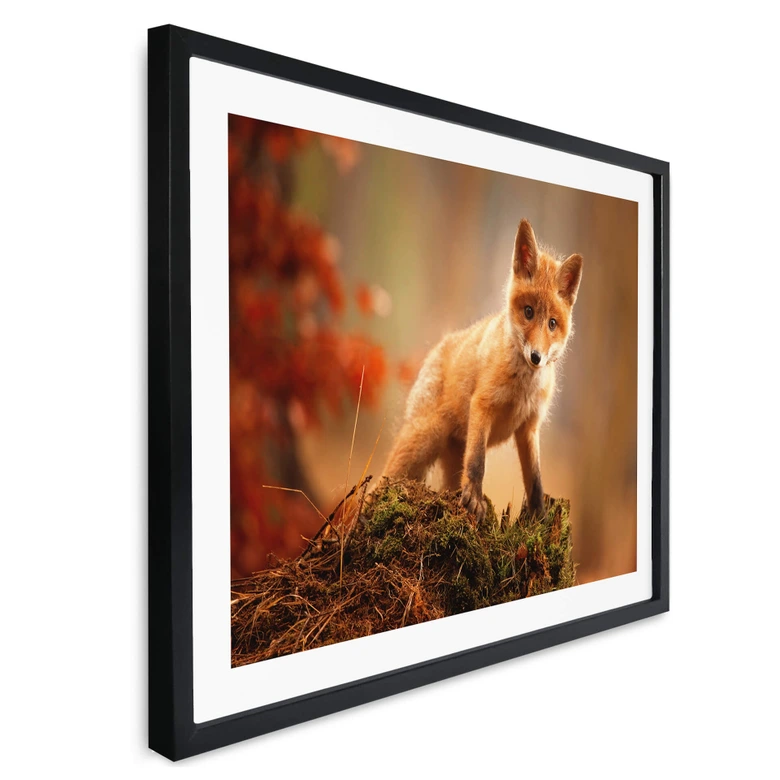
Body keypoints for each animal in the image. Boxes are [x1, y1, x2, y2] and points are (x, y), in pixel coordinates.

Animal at [380, 218, 583, 522]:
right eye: (528, 311)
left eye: (552, 323)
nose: (536, 357)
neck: (522, 388)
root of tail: (438, 346)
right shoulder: (482, 405)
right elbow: (477, 462)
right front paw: (474, 500)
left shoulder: (529, 426)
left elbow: (535, 480)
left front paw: (539, 516)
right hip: (422, 441)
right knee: (377, 485)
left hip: (449, 457)